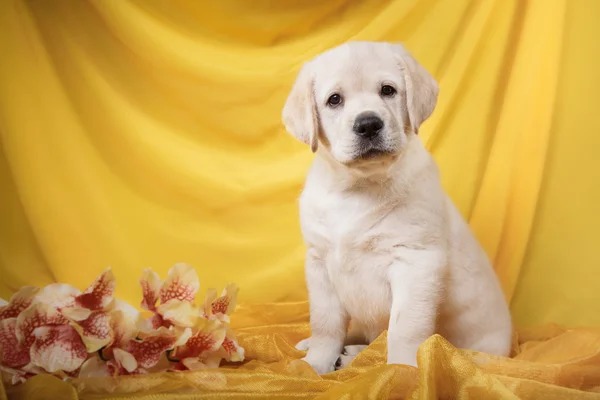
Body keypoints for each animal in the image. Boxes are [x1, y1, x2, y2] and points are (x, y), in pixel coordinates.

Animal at [282, 41, 510, 376]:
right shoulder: (319, 263)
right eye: (334, 99)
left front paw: (400, 371)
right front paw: (316, 363)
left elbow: (404, 328)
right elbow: (324, 323)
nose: (368, 124)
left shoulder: (417, 262)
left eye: (387, 90)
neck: (359, 187)